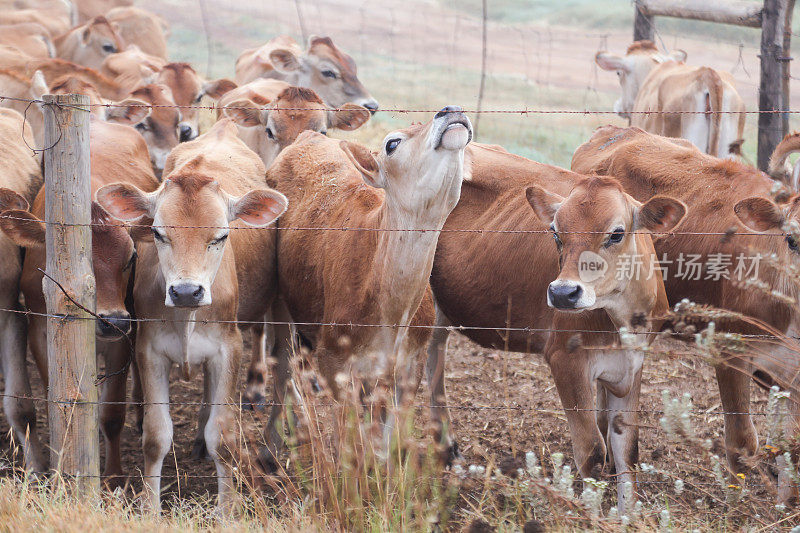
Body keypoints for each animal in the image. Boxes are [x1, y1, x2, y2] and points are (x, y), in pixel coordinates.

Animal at [97, 119, 290, 512]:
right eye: (158, 233)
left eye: (221, 236)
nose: (187, 292)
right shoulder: (149, 350)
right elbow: (156, 435)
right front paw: (150, 508)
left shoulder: (229, 349)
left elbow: (224, 438)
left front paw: (227, 510)